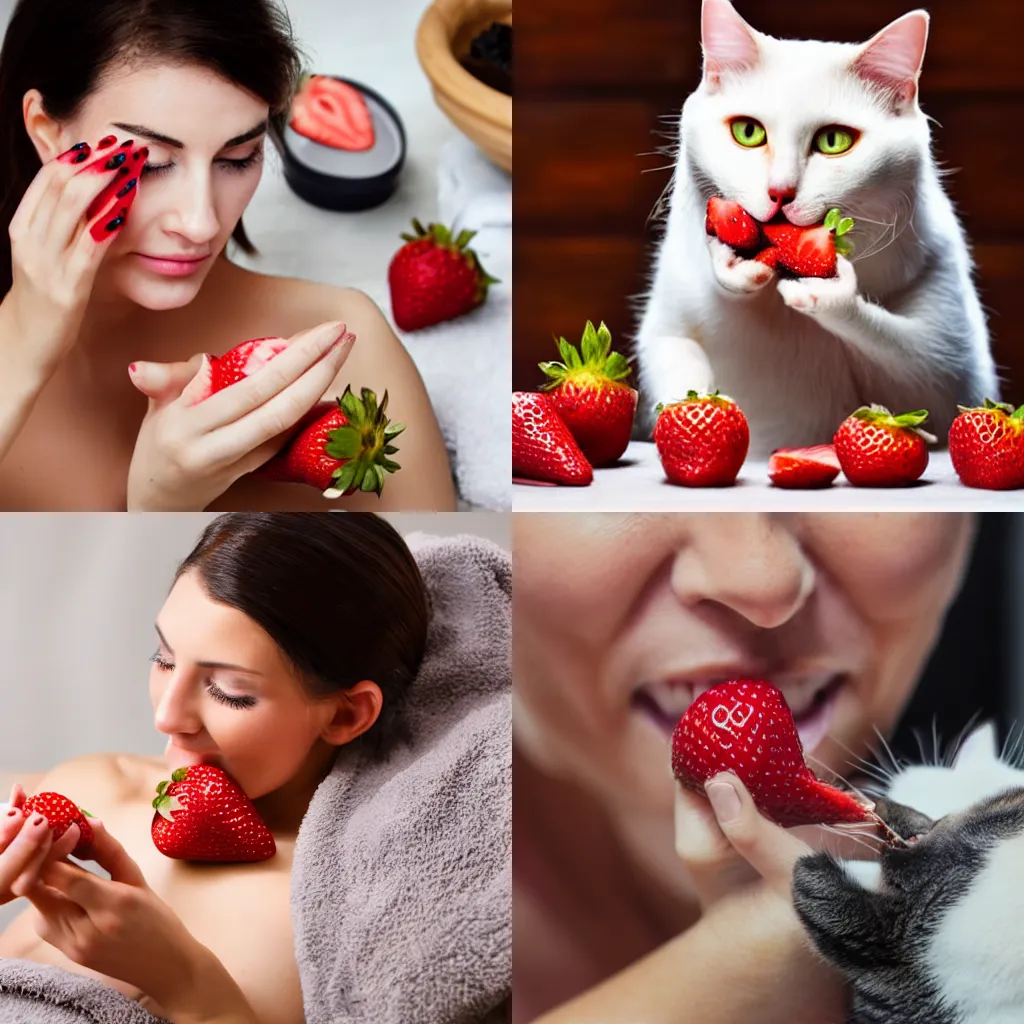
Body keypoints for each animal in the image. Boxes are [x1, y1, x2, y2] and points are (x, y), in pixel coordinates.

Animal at [634, 0, 995, 456]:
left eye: (833, 141)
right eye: (747, 132)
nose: (779, 192)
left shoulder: (955, 370)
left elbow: (917, 374)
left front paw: (830, 294)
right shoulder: (665, 332)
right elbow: (679, 370)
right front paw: (730, 267)